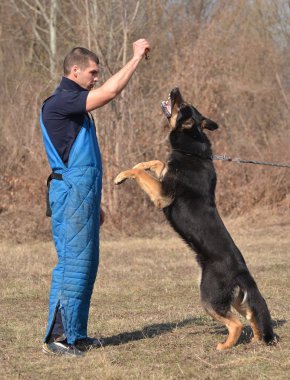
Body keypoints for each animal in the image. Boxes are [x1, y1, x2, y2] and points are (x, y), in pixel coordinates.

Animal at [114, 88, 278, 350]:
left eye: (182, 106)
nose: (175, 89)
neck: (191, 148)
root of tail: (242, 272)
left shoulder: (162, 195)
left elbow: (141, 172)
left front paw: (121, 175)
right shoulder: (163, 178)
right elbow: (156, 162)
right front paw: (135, 166)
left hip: (209, 295)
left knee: (236, 323)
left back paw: (225, 346)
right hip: (235, 299)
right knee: (252, 314)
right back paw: (255, 340)